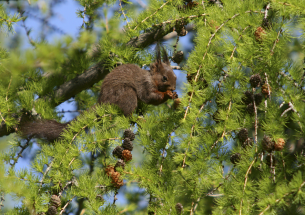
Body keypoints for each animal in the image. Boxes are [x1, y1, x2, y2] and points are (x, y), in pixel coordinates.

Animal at [17, 43, 177, 141]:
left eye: (175, 76)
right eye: (164, 78)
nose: (174, 88)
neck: (151, 78)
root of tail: (103, 101)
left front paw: (173, 95)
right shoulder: (144, 85)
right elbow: (149, 97)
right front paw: (166, 95)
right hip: (126, 94)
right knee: (126, 112)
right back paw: (136, 118)